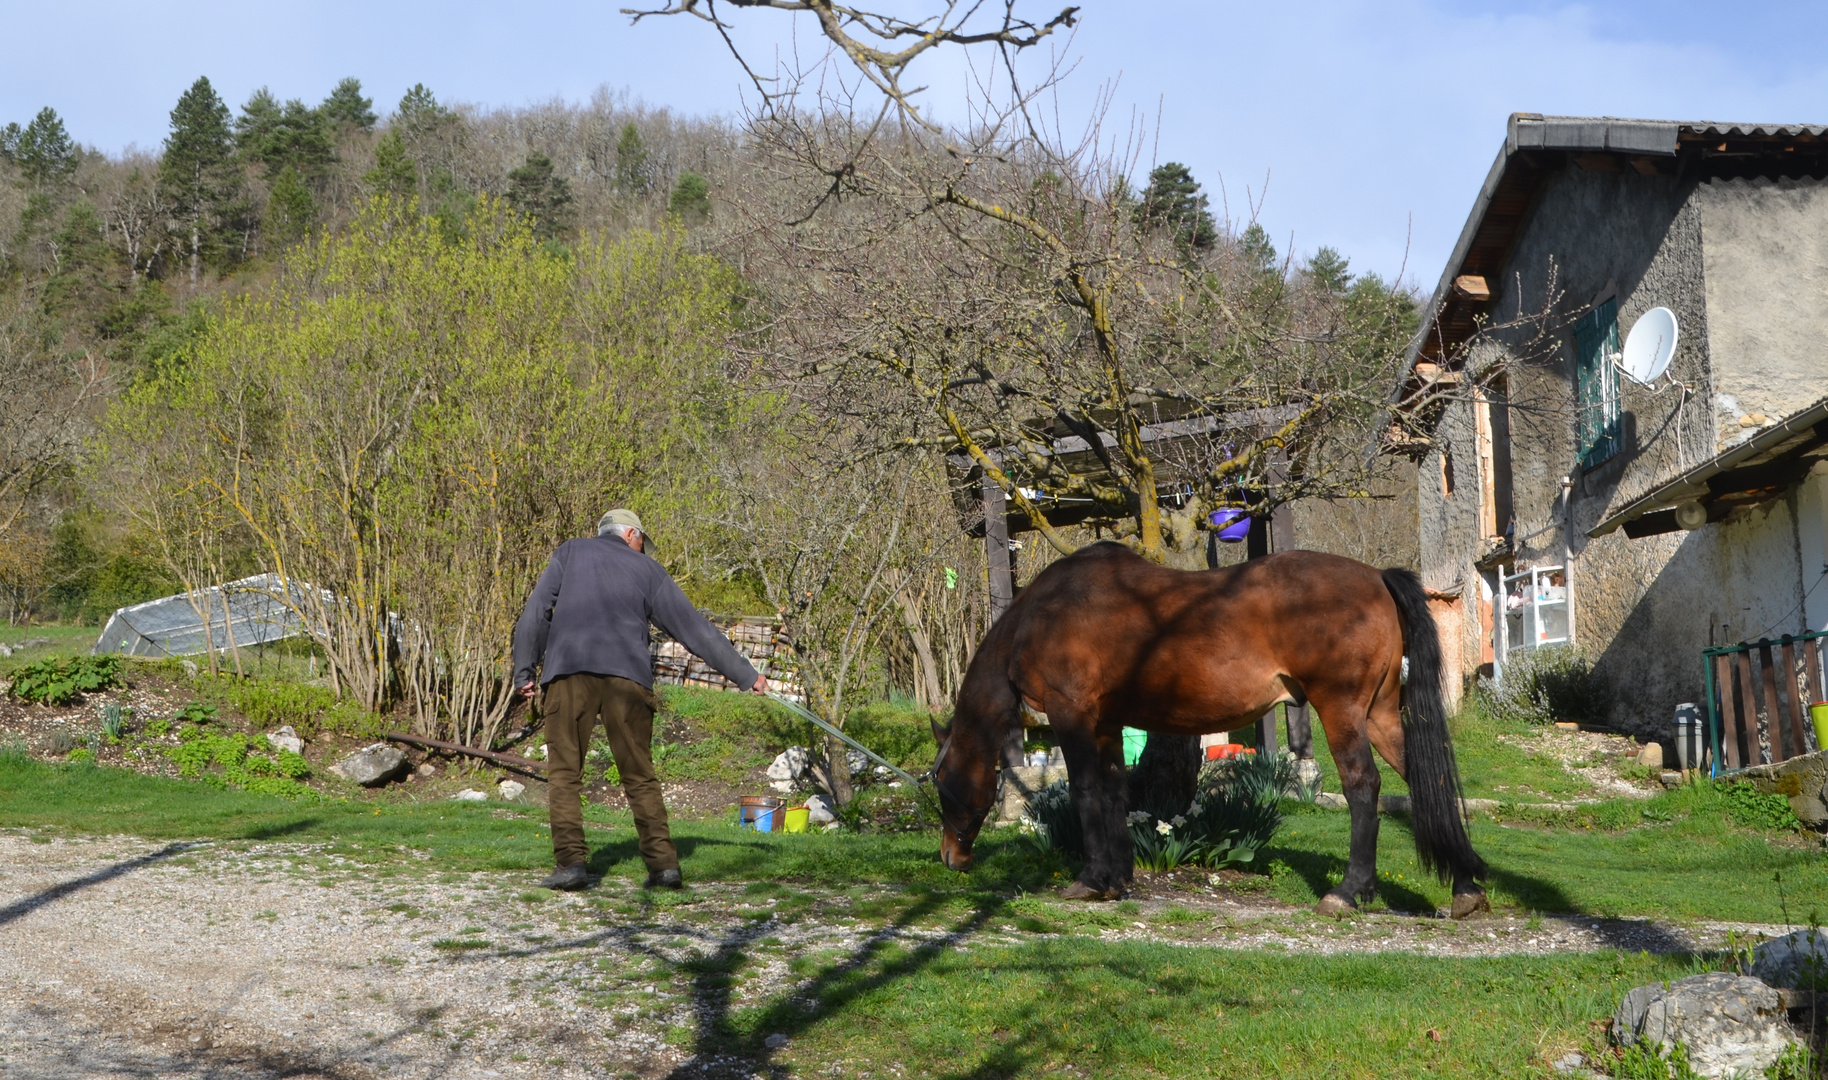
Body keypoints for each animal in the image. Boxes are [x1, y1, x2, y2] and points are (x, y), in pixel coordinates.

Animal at [928, 544, 1484, 917]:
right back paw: (1467, 886)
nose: (950, 857)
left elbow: (1086, 792)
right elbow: (1113, 793)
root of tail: (1376, 577)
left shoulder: (1073, 718)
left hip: (1342, 711)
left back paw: (1349, 892)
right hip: (1379, 715)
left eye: (941, 786)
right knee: (1425, 780)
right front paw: (1117, 877)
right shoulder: (1106, 725)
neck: (1044, 614)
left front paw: (1090, 879)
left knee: (1364, 787)